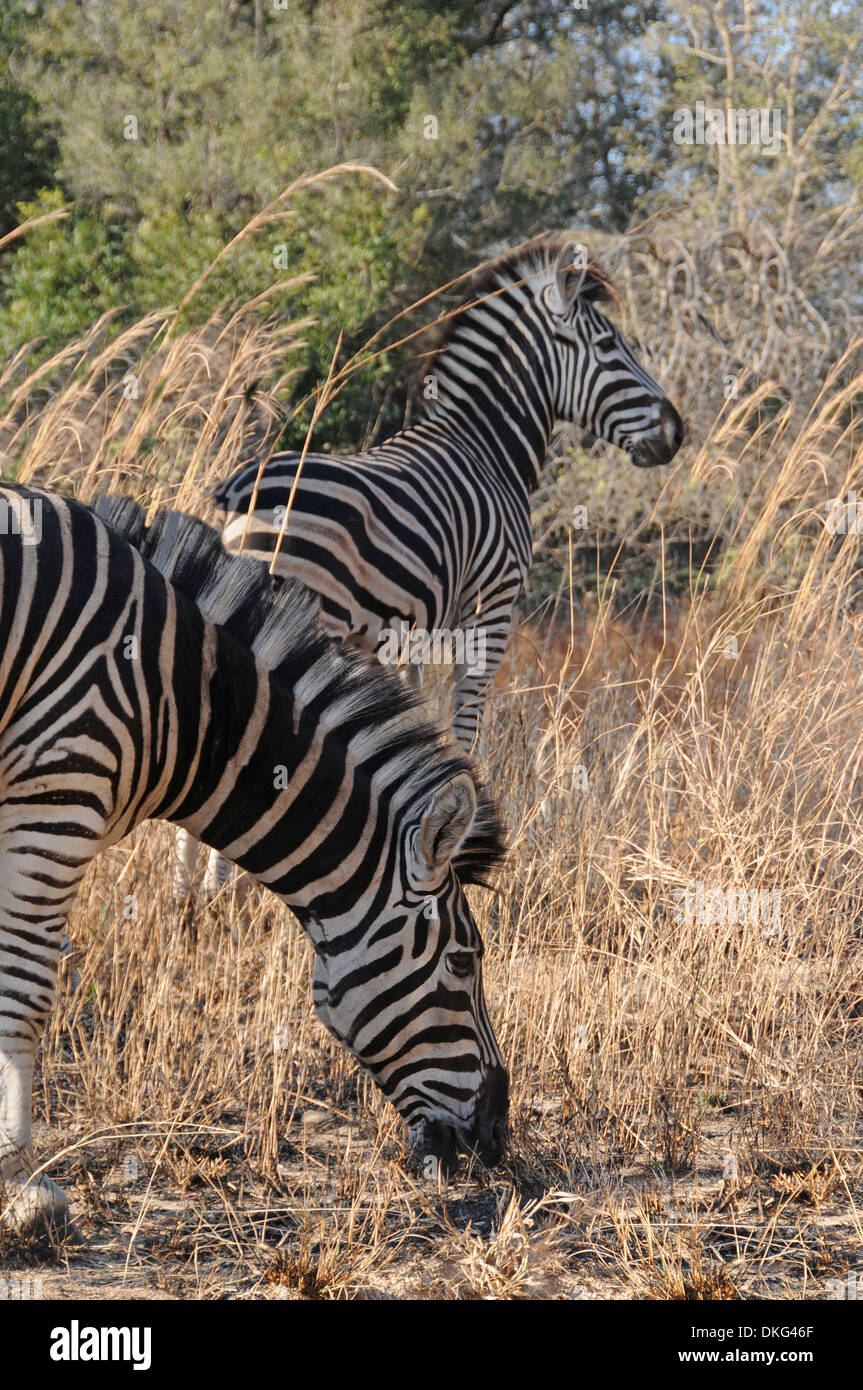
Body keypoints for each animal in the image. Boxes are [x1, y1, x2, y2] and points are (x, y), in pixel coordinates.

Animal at [0, 484, 507, 1234]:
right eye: (463, 962)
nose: (498, 1137)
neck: (182, 704)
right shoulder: (57, 798)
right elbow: (26, 992)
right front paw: (21, 1183)